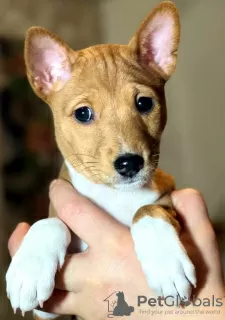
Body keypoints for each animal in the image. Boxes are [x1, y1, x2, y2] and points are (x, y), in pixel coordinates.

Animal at [5, 1, 197, 318]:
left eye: (145, 103)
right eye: (83, 113)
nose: (130, 163)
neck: (113, 196)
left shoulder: (168, 195)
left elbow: (147, 210)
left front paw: (167, 265)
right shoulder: (51, 311)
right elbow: (49, 222)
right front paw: (29, 270)